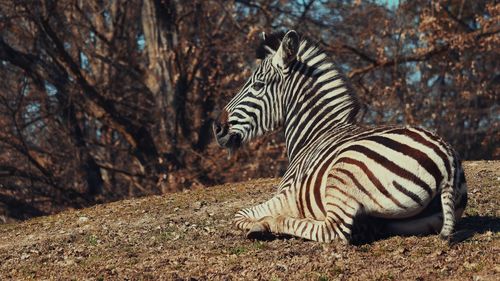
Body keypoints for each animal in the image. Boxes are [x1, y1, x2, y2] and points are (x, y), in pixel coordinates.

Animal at [212, 29, 468, 242]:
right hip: (416, 221)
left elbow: (240, 214)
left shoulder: (286, 196)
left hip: (344, 171)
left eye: (257, 85)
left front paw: (259, 225)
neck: (316, 134)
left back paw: (273, 223)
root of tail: (446, 161)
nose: (217, 128)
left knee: (332, 231)